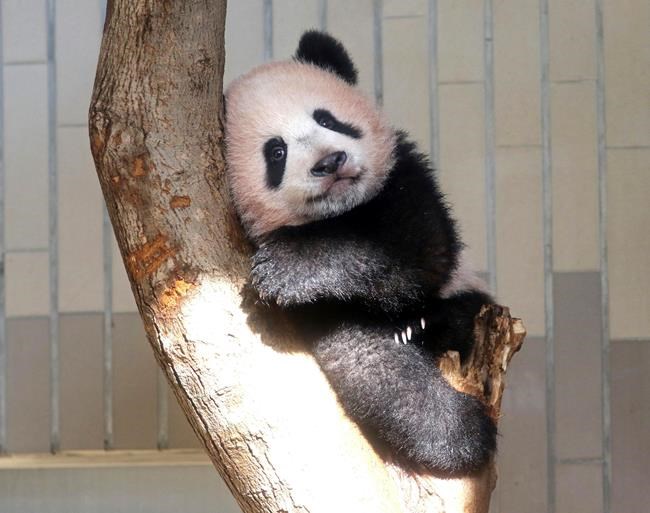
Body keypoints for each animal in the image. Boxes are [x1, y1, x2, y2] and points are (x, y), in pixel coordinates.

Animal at [225, 30, 496, 474]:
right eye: (276, 151)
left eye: (328, 120)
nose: (330, 161)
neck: (341, 213)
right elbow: (370, 364)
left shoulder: (405, 177)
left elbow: (417, 247)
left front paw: (286, 267)